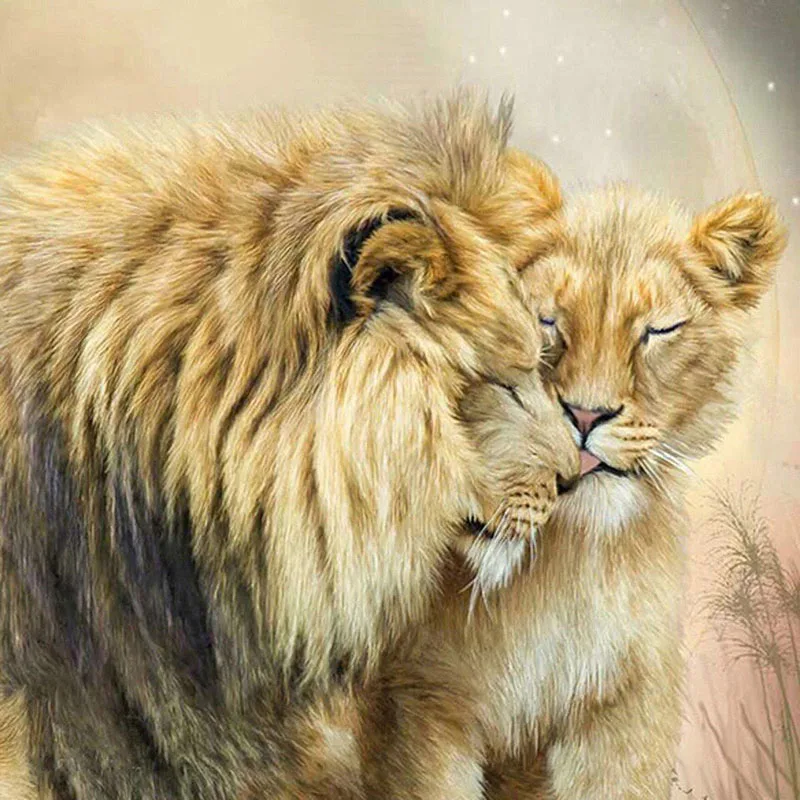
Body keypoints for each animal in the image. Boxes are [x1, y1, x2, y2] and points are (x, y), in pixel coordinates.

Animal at [350, 183, 786, 799]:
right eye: (548, 320)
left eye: (659, 330)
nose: (584, 415)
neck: (568, 561)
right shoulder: (421, 702)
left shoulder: (629, 705)